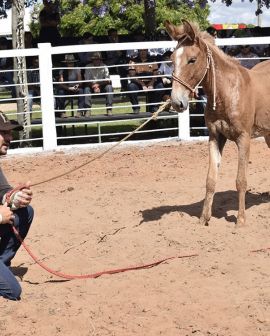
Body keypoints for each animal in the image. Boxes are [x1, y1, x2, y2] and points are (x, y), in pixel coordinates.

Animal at [165, 19, 270, 227]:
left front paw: (240, 220)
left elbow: (241, 180)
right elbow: (210, 180)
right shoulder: (215, 137)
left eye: (192, 59)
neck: (227, 92)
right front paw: (203, 218)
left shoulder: (244, 139)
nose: (176, 102)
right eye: (172, 59)